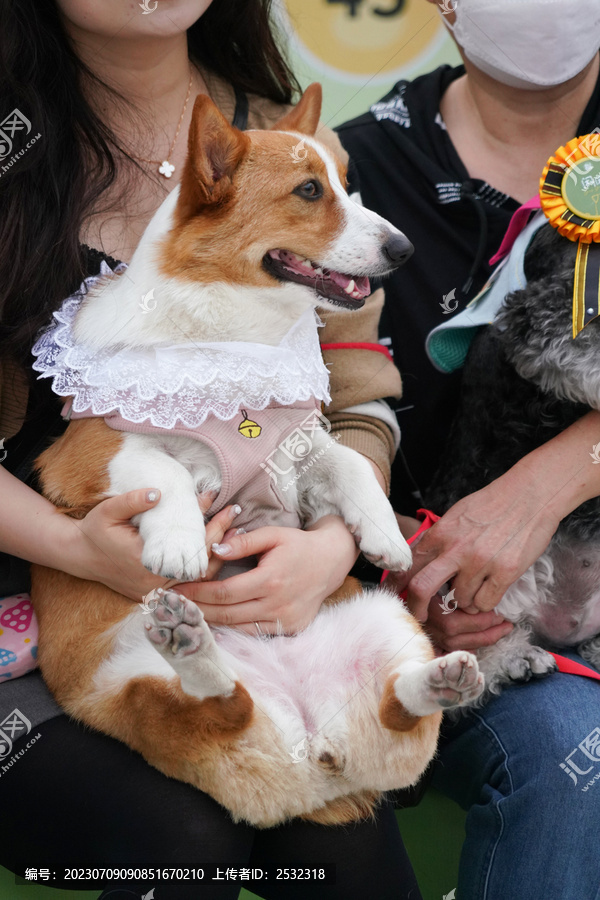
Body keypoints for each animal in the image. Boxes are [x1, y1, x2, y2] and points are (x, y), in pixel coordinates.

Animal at [30, 88, 486, 828]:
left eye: (346, 183)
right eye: (309, 191)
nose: (404, 248)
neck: (236, 339)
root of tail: (312, 759)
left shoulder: (299, 448)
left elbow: (350, 465)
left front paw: (384, 536)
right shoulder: (85, 453)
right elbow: (163, 469)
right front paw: (181, 544)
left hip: (384, 621)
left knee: (396, 713)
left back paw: (443, 680)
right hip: (129, 684)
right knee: (217, 706)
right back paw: (191, 641)